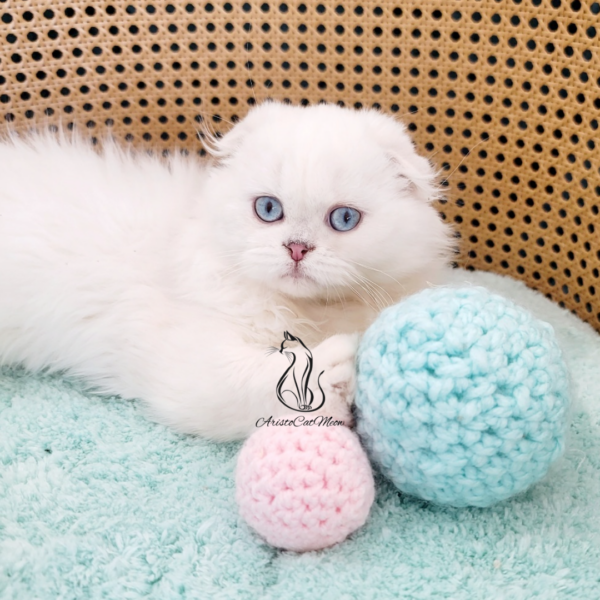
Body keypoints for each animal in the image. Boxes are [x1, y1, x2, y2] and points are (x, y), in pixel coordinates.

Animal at [0, 103, 450, 440]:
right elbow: (262, 381)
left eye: (343, 219)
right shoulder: (190, 369)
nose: (297, 248)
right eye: (268, 209)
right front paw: (339, 367)